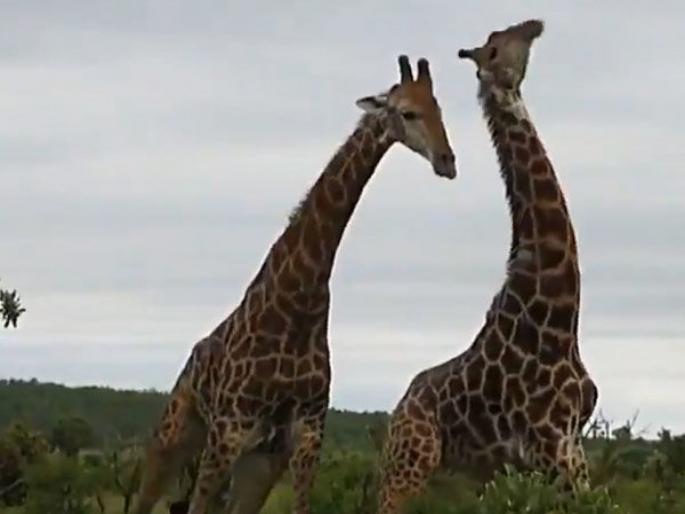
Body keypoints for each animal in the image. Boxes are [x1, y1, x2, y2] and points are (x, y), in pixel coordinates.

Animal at [133, 55, 456, 514]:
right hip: (177, 436)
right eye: (408, 113)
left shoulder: (306, 434)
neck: (299, 301)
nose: (447, 161)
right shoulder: (229, 430)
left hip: (257, 461)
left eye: (438, 109)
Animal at [376, 20, 598, 514]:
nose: (535, 24)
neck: (557, 316)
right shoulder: (550, 446)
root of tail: (399, 405)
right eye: (495, 46)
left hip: (457, 469)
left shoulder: (571, 446)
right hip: (409, 461)